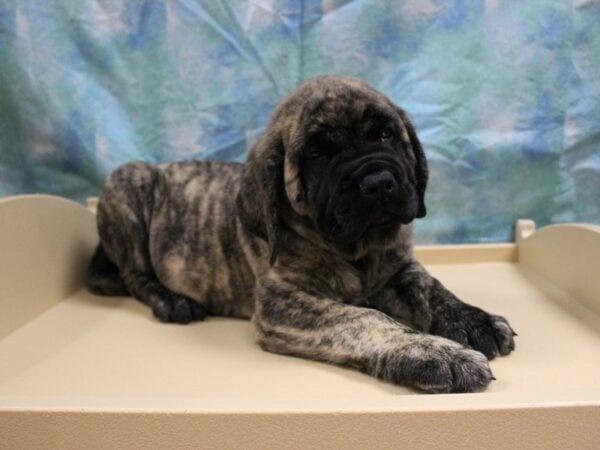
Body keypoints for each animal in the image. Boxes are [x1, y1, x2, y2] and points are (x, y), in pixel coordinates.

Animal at [88, 75, 516, 392]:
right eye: (317, 154)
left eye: (385, 135)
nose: (378, 182)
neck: (356, 250)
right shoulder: (284, 301)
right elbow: (364, 318)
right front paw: (436, 353)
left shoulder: (399, 270)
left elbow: (433, 289)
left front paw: (473, 321)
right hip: (128, 180)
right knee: (135, 275)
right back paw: (172, 300)